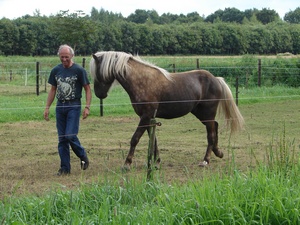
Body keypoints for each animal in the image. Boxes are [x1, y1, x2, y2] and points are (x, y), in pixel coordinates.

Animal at [89, 50, 244, 167]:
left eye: (98, 72)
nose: (99, 94)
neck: (142, 81)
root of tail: (216, 79)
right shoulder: (148, 117)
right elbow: (153, 140)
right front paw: (156, 162)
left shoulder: (146, 116)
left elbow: (135, 139)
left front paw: (127, 163)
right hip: (201, 113)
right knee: (214, 126)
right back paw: (218, 153)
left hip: (207, 112)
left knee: (211, 133)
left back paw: (205, 160)